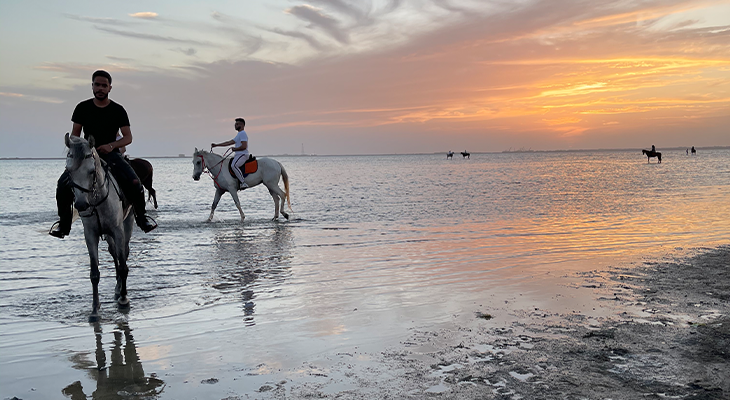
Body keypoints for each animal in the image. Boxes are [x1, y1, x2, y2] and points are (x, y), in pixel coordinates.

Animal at [64, 134, 135, 322]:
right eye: (69, 171)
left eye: (91, 171)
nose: (81, 204)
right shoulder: (91, 234)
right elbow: (94, 273)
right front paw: (95, 310)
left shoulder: (118, 230)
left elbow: (123, 265)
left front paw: (124, 301)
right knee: (114, 253)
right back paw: (117, 288)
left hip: (128, 224)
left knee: (123, 253)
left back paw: (120, 291)